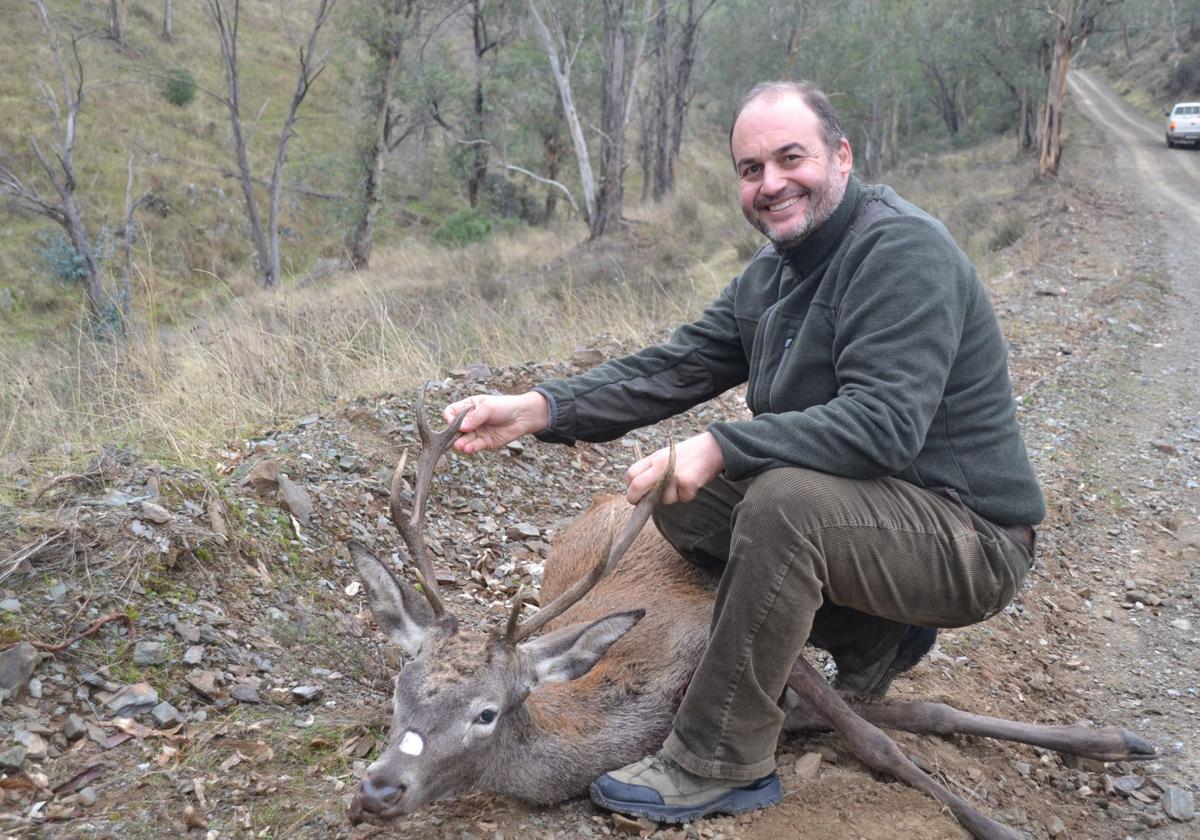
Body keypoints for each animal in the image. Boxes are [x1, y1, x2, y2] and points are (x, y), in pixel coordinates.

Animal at [345, 393, 1152, 840]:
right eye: (400, 693)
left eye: (485, 712)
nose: (377, 789)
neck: (625, 712)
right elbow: (913, 718)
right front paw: (1112, 741)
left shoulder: (737, 634)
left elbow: (886, 737)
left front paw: (1003, 818)